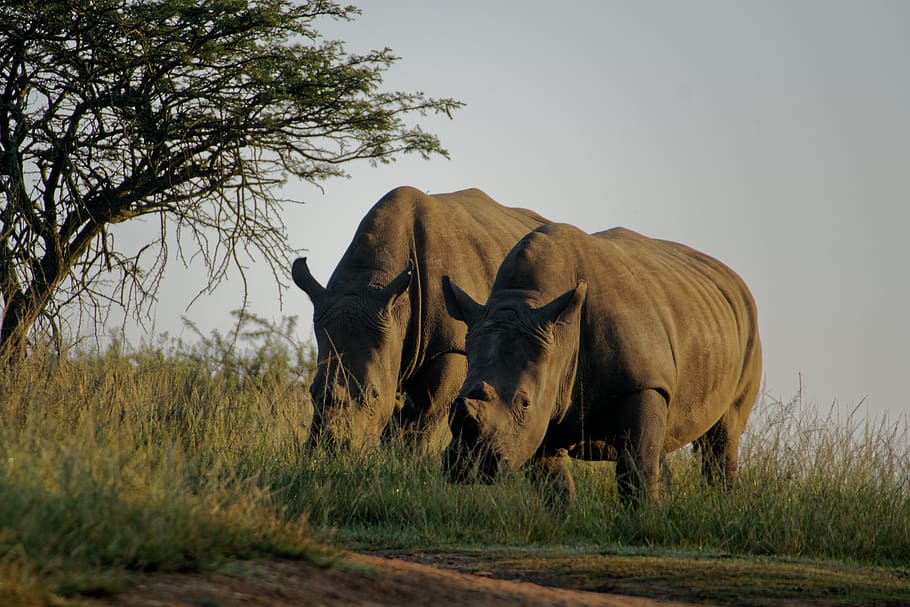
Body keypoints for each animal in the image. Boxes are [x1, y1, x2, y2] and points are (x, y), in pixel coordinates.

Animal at [293, 186, 549, 452]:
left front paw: (405, 456)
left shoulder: (450, 346)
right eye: (311, 391)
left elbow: (421, 417)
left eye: (374, 394)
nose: (330, 448)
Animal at [442, 223, 762, 507]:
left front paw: (646, 520)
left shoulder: (642, 384)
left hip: (748, 329)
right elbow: (552, 483)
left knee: (722, 434)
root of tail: (731, 277)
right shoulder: (546, 402)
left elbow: (635, 469)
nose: (471, 466)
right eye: (455, 402)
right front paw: (561, 519)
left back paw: (721, 506)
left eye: (524, 403)